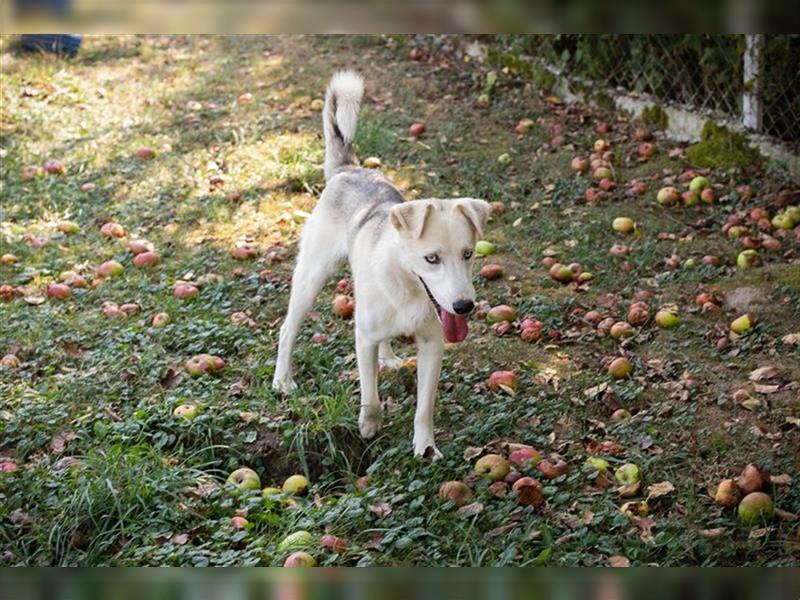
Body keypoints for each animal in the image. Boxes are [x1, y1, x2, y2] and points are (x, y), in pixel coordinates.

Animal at [272, 70, 490, 458]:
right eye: (431, 258)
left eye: (468, 254)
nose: (464, 306)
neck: (409, 291)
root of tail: (350, 171)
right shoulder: (364, 339)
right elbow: (370, 394)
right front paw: (369, 425)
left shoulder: (432, 345)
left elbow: (424, 407)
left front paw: (425, 447)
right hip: (312, 277)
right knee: (287, 330)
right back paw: (283, 379)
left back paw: (388, 358)